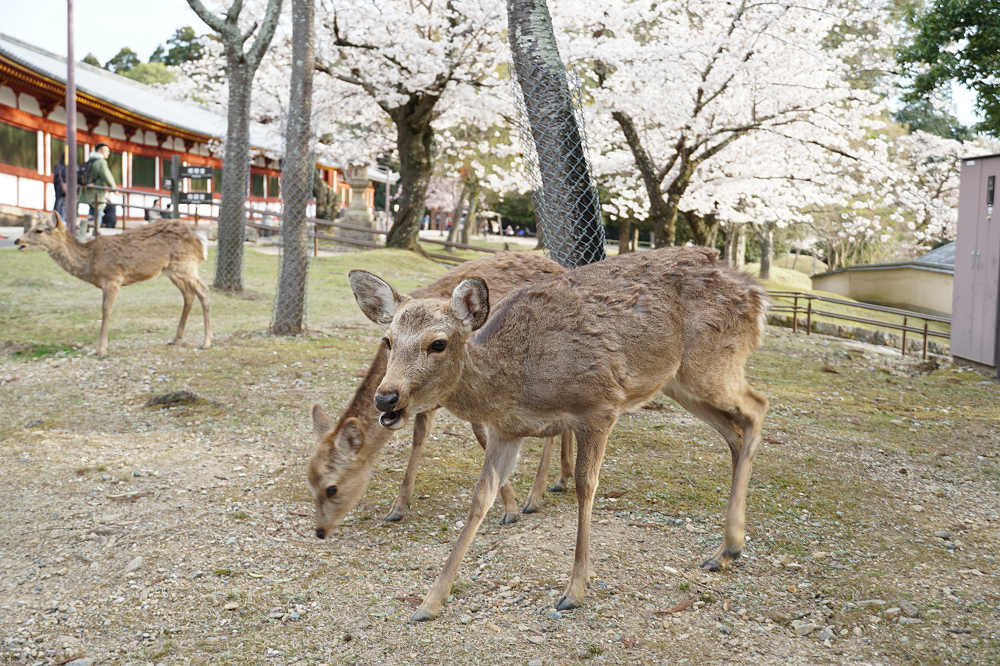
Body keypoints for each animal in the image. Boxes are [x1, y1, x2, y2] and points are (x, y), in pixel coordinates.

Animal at [14, 212, 211, 357]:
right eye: (31, 227)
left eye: (39, 230)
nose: (17, 241)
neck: (90, 262)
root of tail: (201, 241)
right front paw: (100, 348)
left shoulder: (112, 279)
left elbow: (105, 310)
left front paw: (101, 350)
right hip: (172, 270)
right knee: (189, 295)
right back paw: (176, 339)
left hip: (185, 264)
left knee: (204, 291)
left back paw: (206, 342)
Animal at [309, 252, 575, 534]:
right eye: (387, 340)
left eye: (332, 488)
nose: (385, 398)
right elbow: (419, 438)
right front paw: (398, 508)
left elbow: (482, 437)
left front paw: (510, 509)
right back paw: (562, 479)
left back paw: (534, 497)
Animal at [346, 246, 769, 621]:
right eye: (387, 341)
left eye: (438, 343)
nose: (386, 397)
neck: (513, 379)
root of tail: (757, 295)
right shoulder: (505, 432)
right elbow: (481, 498)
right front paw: (429, 603)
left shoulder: (600, 405)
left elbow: (586, 485)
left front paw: (574, 590)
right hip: (680, 382)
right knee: (735, 430)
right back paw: (726, 551)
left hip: (711, 361)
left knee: (756, 407)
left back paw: (730, 546)